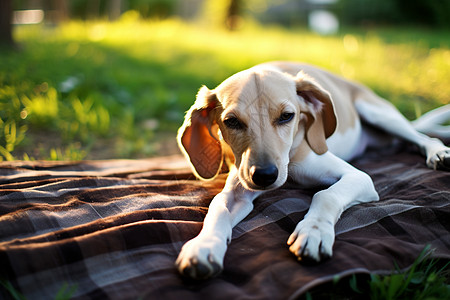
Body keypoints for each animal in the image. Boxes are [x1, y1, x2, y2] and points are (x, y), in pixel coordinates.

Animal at [175, 61, 450, 278]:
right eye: (231, 122)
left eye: (287, 116)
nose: (265, 176)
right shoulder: (238, 190)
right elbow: (217, 208)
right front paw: (204, 245)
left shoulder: (358, 177)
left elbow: (325, 195)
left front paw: (313, 231)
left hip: (378, 113)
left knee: (423, 136)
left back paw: (437, 152)